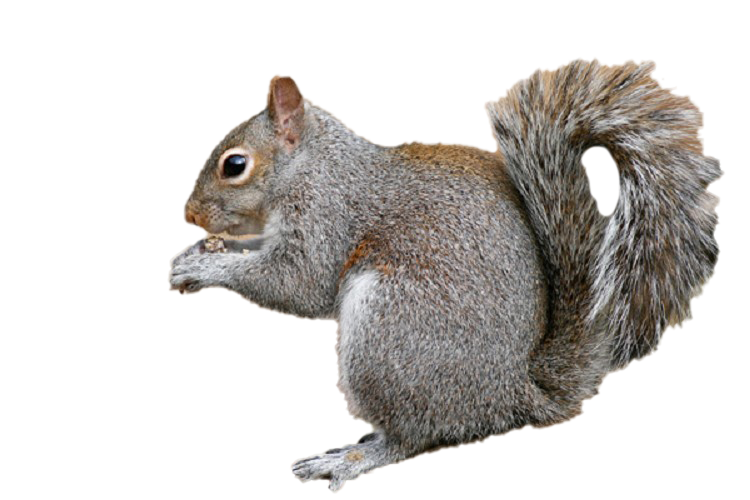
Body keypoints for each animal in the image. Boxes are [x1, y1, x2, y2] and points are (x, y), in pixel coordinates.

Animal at [167, 57, 723, 493]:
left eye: (234, 165)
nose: (189, 215)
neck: (314, 167)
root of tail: (513, 396)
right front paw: (196, 252)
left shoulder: (327, 217)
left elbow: (298, 284)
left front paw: (206, 265)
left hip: (388, 335)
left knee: (415, 436)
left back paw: (352, 456)